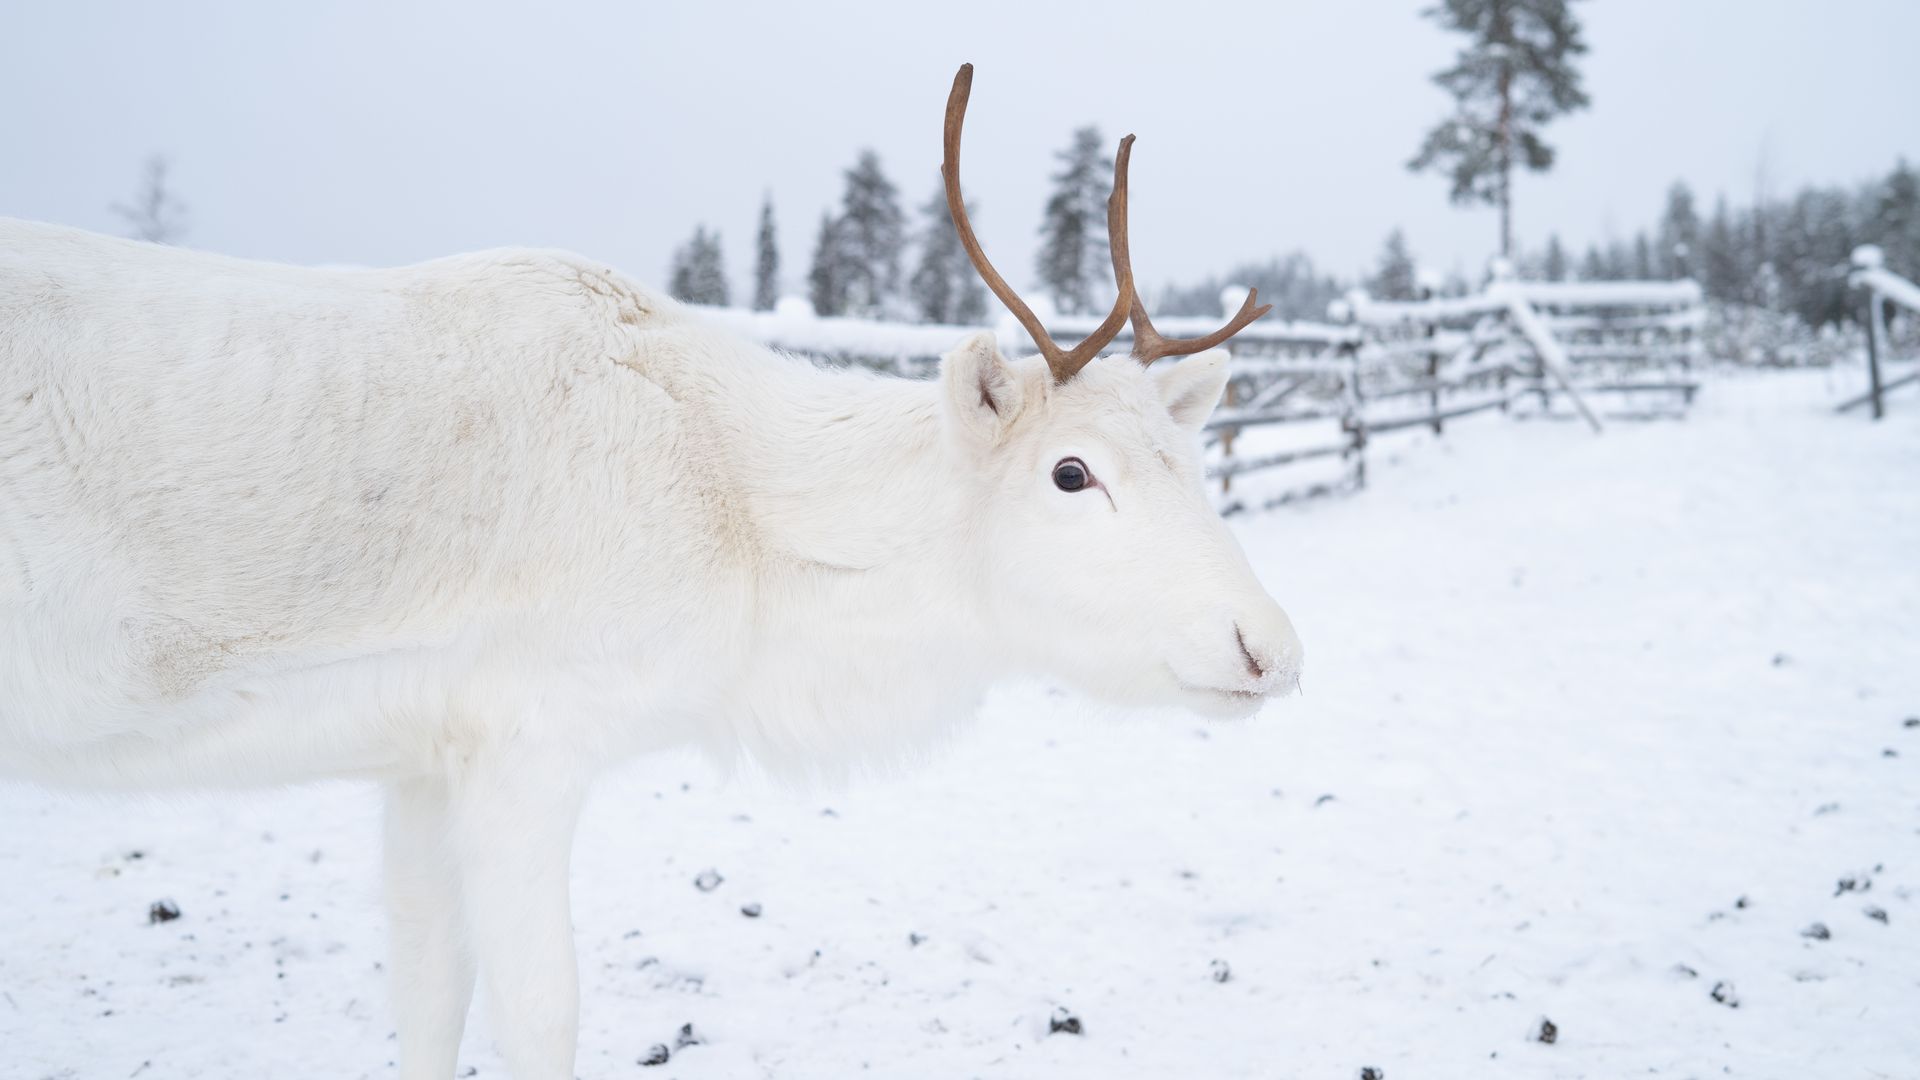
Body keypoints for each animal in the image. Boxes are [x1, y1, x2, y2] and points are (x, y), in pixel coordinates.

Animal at [0, 65, 1301, 1078]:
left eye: (1188, 458)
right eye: (1072, 473)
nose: (1272, 647)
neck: (754, 563)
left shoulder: (419, 755)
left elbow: (427, 1000)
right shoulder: (529, 738)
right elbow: (539, 1018)